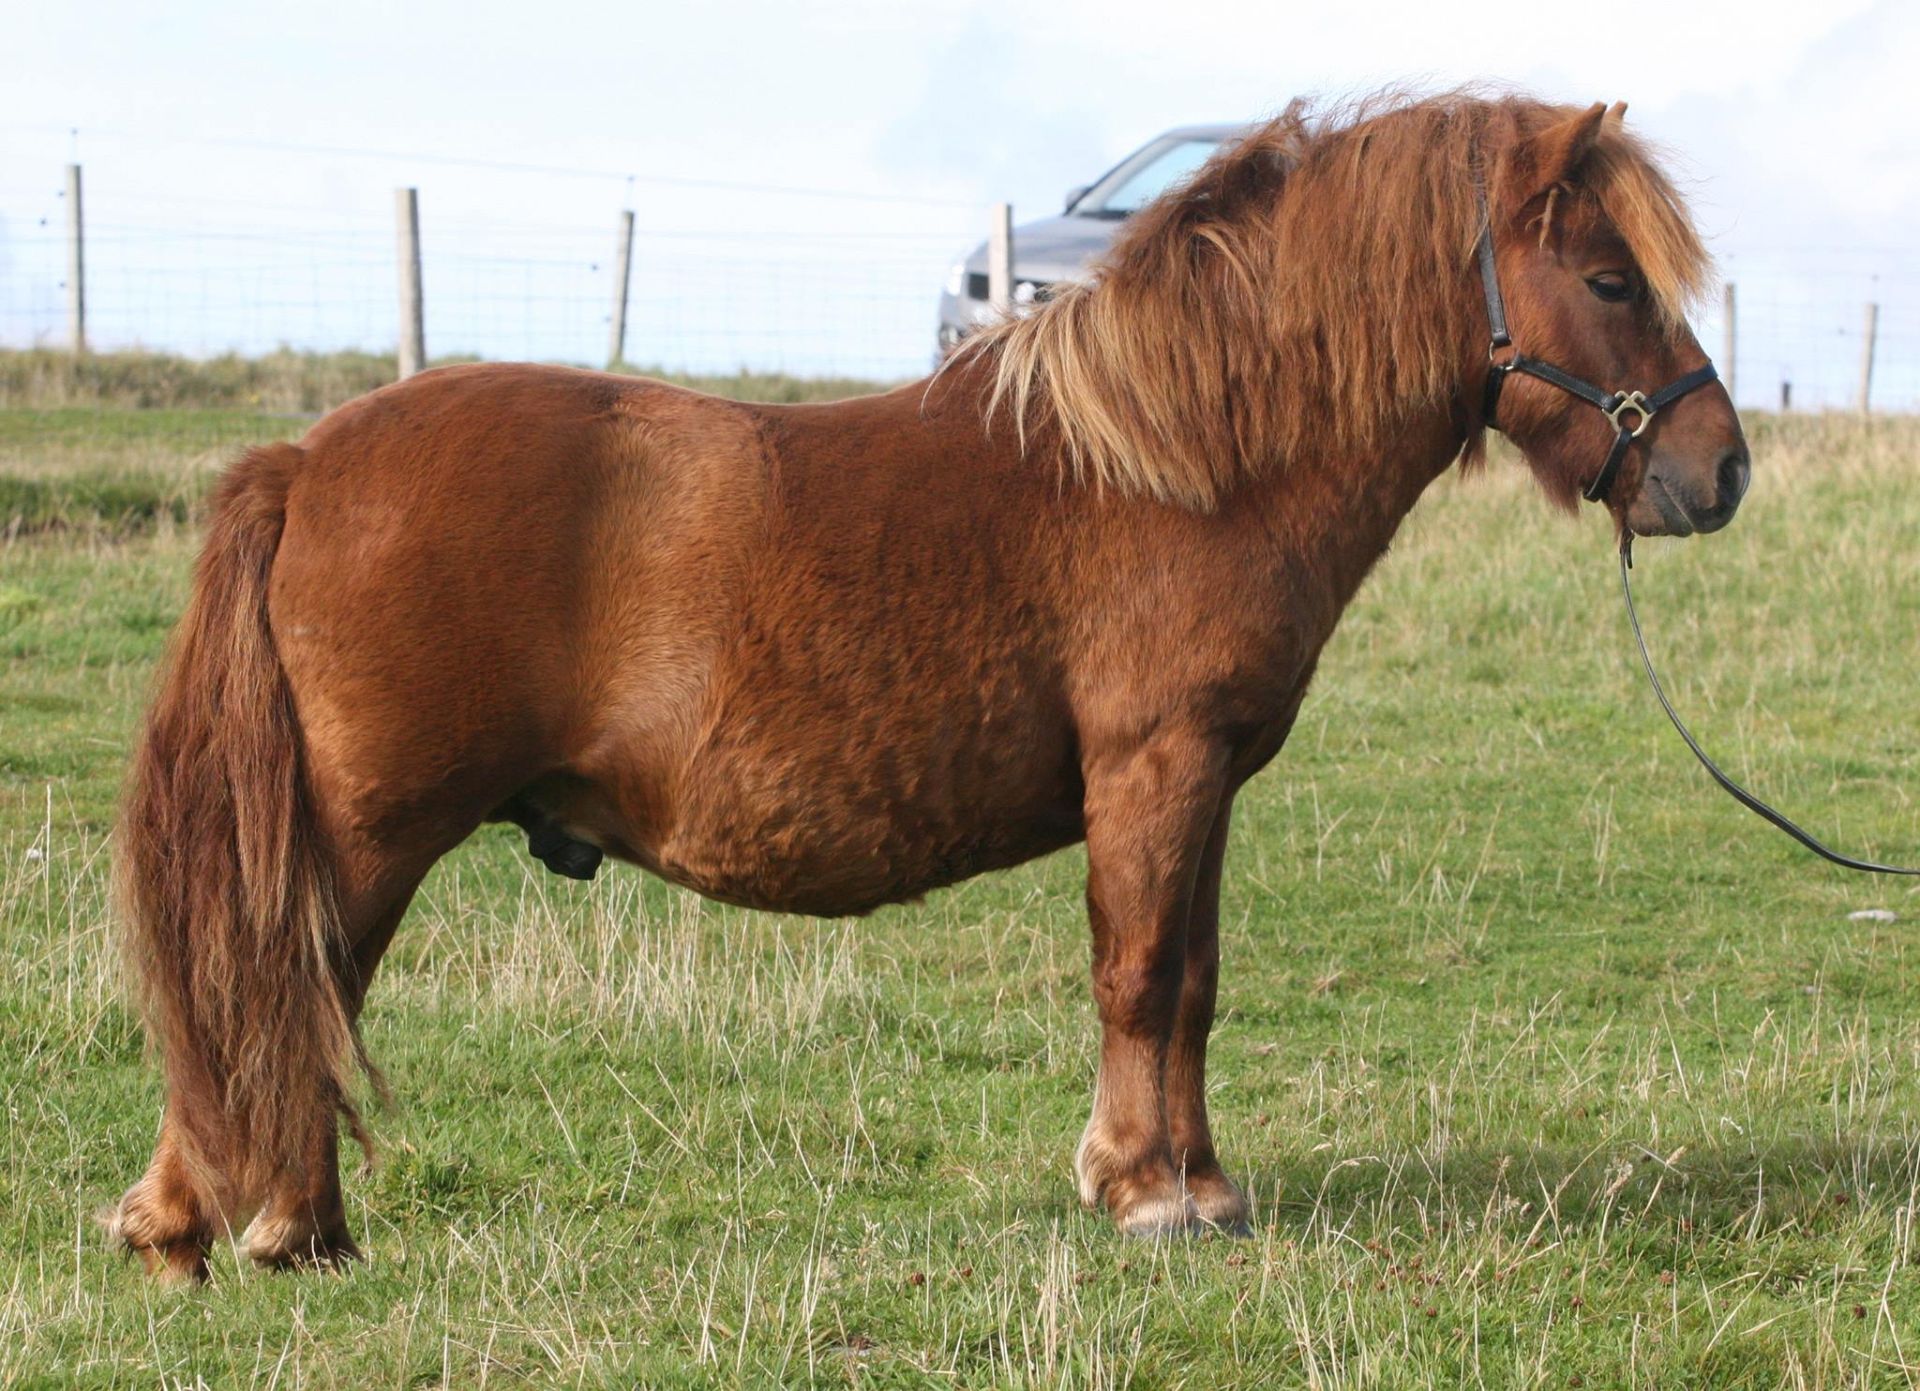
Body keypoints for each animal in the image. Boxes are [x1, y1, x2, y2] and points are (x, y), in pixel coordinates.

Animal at [112, 92, 1751, 1275]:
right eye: (1610, 276)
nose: (1718, 467)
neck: (1175, 464)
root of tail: (306, 461)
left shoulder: (1205, 784)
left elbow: (1195, 980)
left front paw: (1198, 1182)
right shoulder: (1154, 767)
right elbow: (1139, 972)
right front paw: (1146, 1191)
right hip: (366, 833)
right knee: (284, 990)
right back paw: (275, 1222)